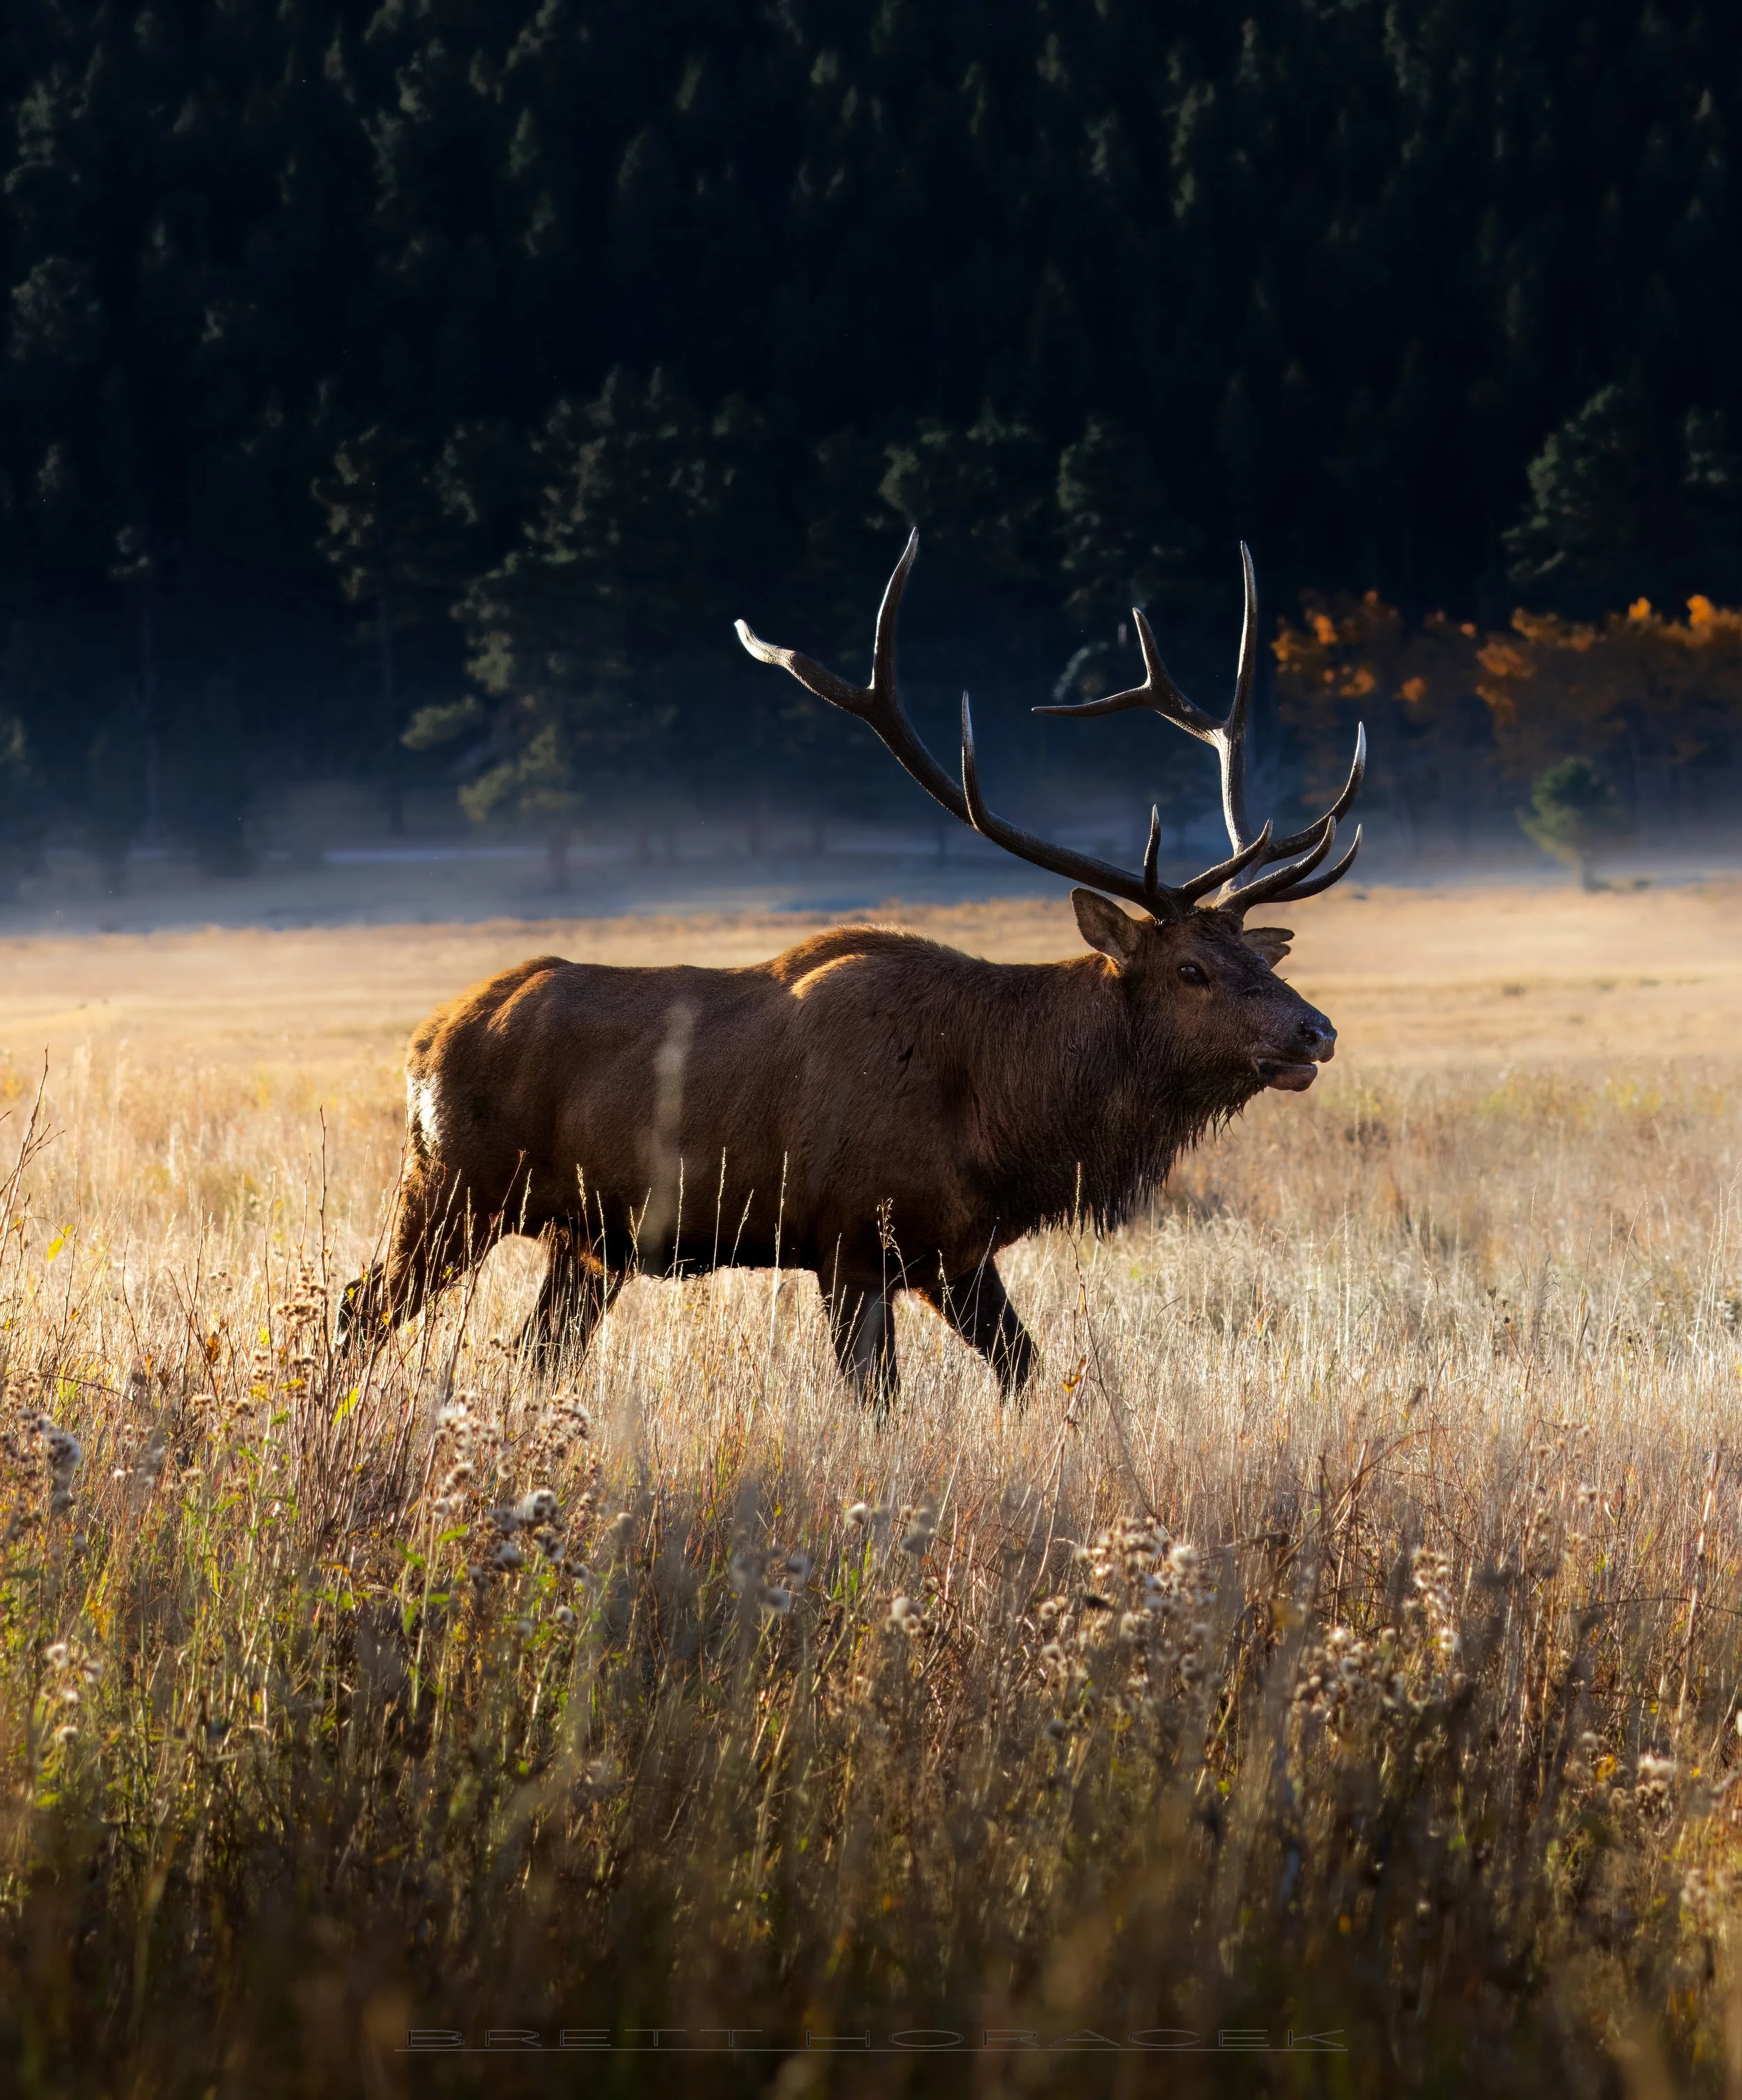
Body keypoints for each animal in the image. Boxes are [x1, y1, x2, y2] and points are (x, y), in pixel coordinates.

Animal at [337, 532, 1363, 1406]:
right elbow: (878, 1401)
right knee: (359, 1307)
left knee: (538, 1351)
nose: (1315, 1029)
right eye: (1191, 968)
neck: (1001, 1114)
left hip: (589, 1241)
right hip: (451, 1186)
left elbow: (1027, 1371)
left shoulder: (957, 1251)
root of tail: (423, 1043)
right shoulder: (849, 1238)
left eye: (1252, 953)